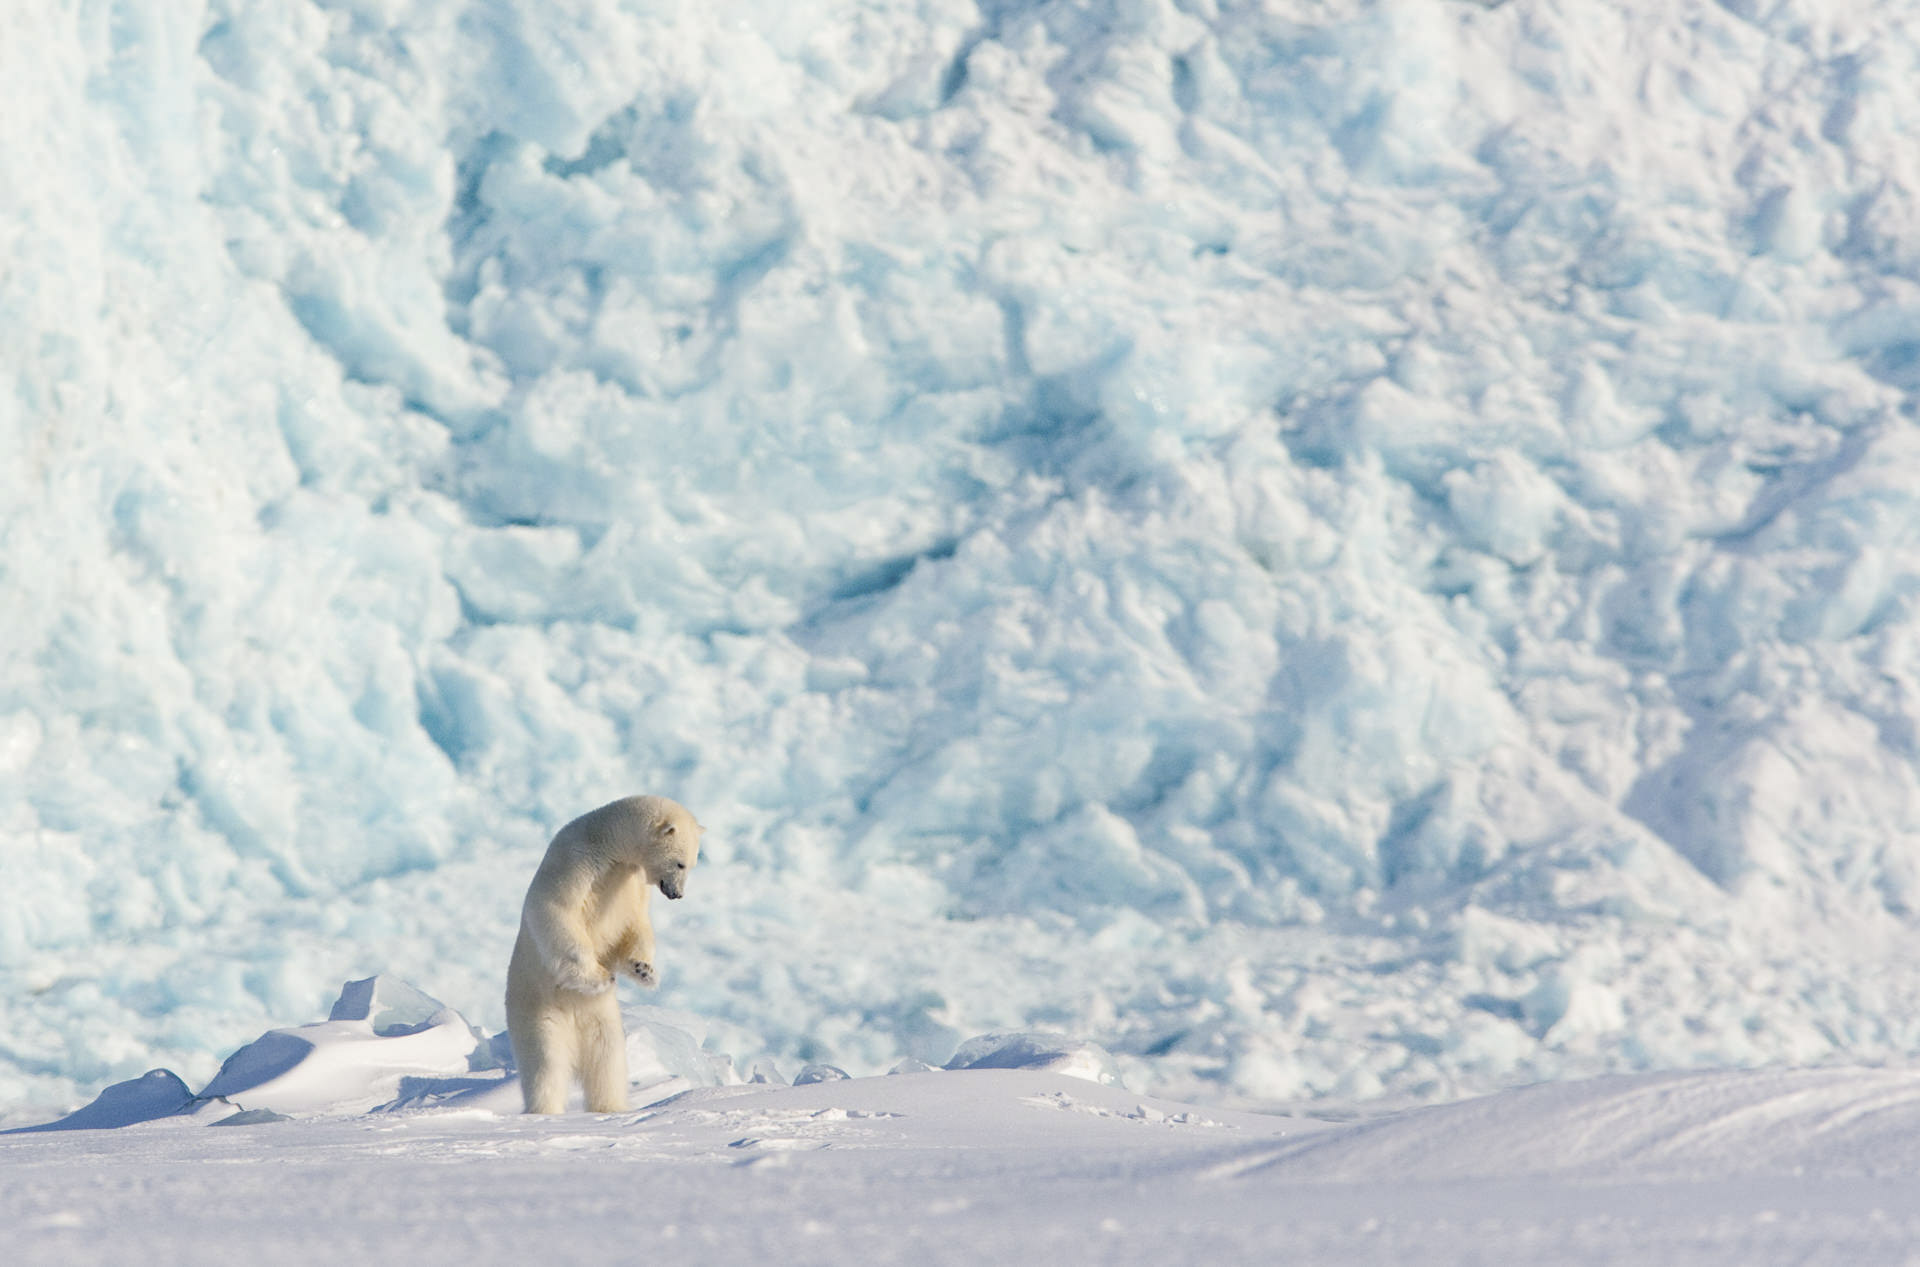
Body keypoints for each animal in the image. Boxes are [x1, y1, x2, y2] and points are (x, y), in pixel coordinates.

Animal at [503, 798, 706, 1113]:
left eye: (693, 864)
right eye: (680, 862)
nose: (677, 894)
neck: (609, 840)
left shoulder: (630, 881)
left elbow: (635, 925)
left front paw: (645, 970)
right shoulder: (577, 861)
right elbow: (556, 911)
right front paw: (598, 977)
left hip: (603, 1017)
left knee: (607, 1059)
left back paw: (611, 1107)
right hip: (537, 1009)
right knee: (546, 1062)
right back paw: (545, 1109)